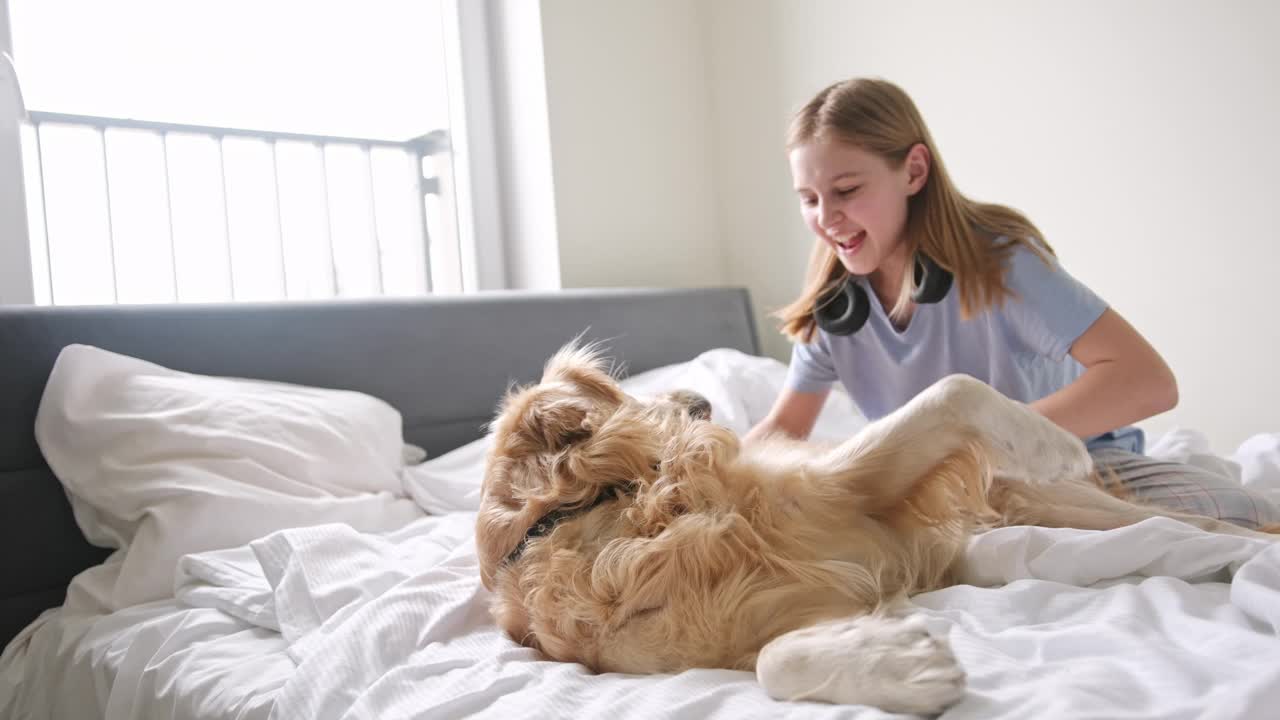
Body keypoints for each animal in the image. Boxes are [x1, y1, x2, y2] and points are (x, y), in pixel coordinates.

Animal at [476, 343, 1274, 712]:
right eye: (633, 390)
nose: (701, 398)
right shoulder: (759, 619)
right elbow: (773, 664)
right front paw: (905, 667)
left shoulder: (850, 489)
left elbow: (954, 387)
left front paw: (1051, 437)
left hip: (1069, 503)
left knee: (1191, 520)